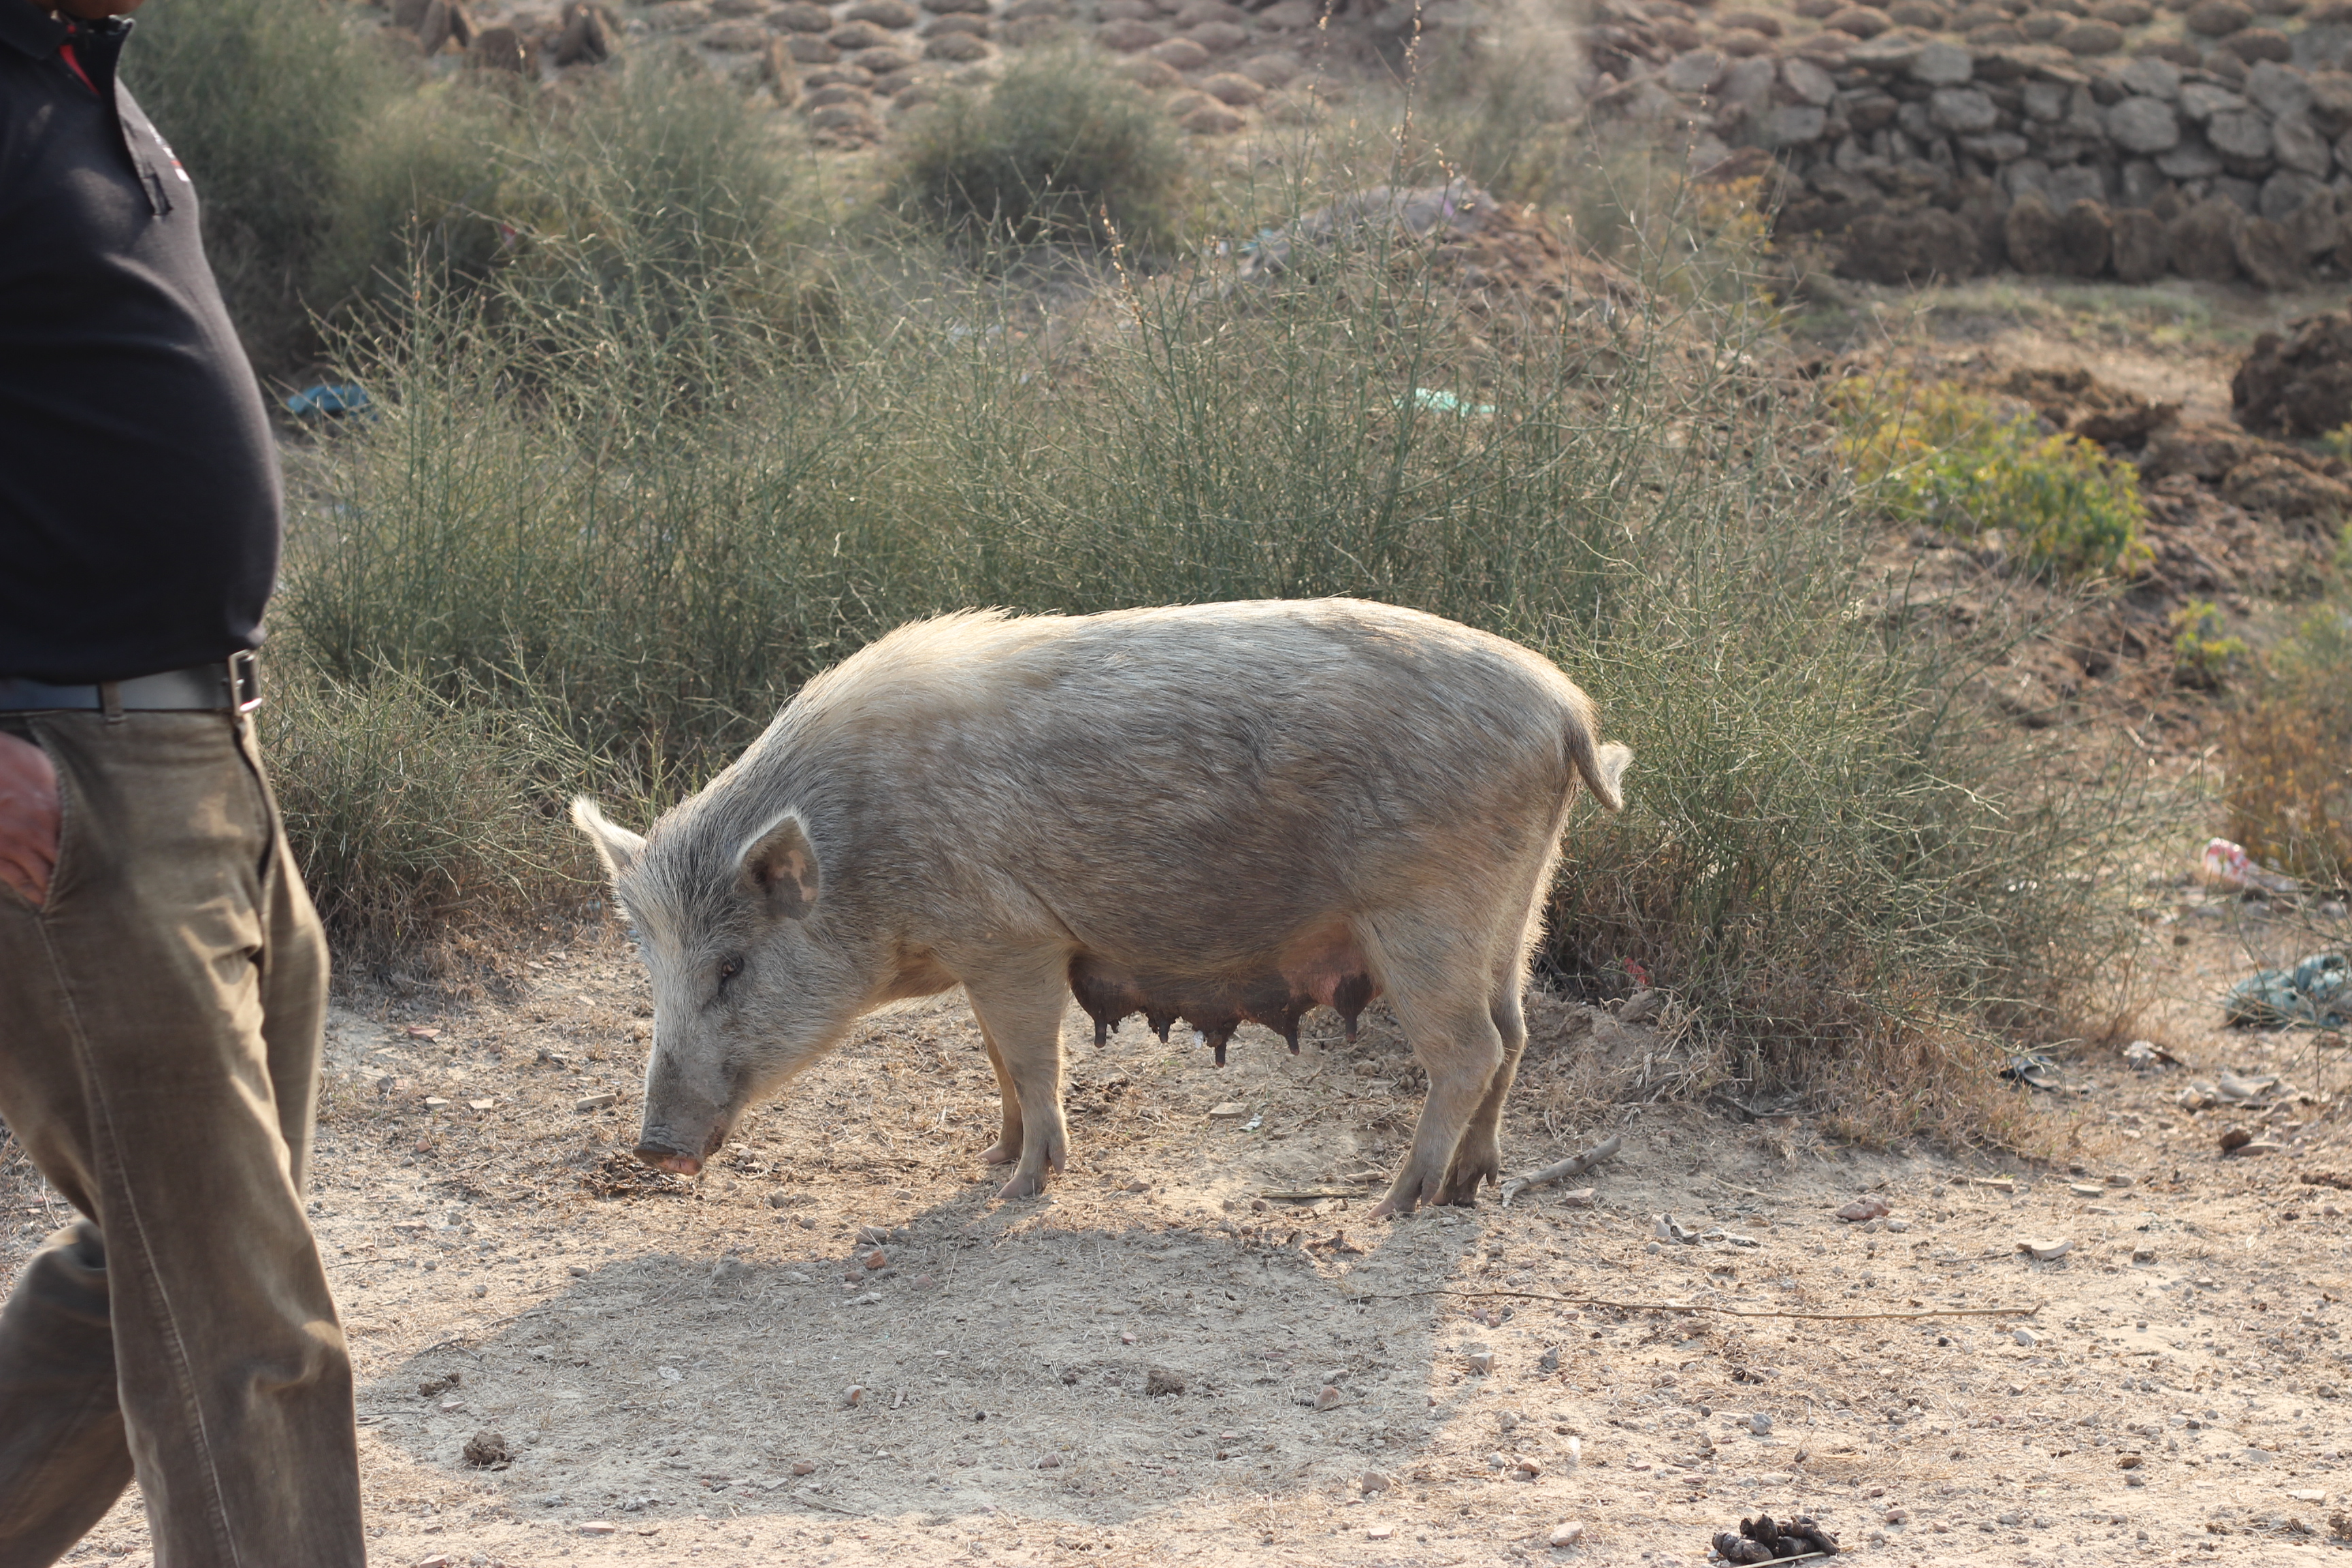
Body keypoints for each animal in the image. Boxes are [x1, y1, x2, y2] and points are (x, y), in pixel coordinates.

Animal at [571, 598, 1628, 1217]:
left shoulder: (1016, 939)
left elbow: (1035, 1058)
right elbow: (997, 1060)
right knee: (1516, 1033)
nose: (655, 1149)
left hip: (1426, 913)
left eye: (731, 965)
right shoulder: (983, 954)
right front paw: (988, 1156)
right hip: (1519, 904)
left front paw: (1023, 1187)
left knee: (1469, 1049)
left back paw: (1394, 1203)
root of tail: (1567, 709)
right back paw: (1470, 1187)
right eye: (651, 969)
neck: (866, 853)